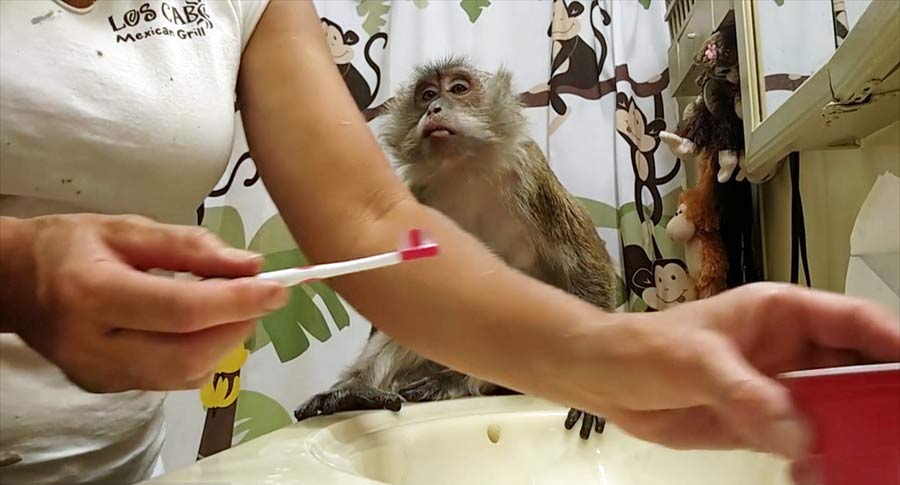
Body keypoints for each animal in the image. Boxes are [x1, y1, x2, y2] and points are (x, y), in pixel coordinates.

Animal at [295, 57, 618, 440]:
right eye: (427, 95)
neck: (464, 167)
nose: (434, 108)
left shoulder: (531, 174)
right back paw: (358, 391)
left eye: (459, 89)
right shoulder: (417, 195)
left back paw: (457, 383)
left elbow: (585, 262)